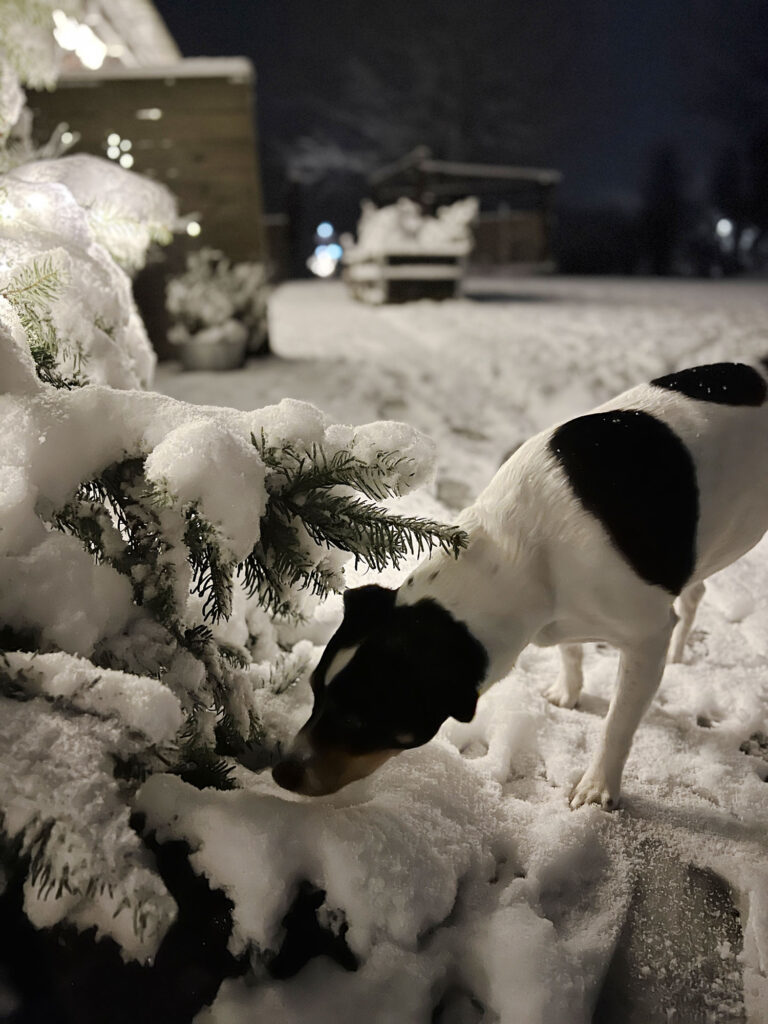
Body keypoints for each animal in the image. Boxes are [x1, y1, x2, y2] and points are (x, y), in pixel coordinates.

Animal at [274, 366, 765, 806]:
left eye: (359, 720)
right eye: (315, 691)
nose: (281, 771)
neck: (518, 552)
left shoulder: (645, 637)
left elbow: (618, 724)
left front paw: (599, 786)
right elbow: (571, 651)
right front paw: (569, 689)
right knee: (695, 591)